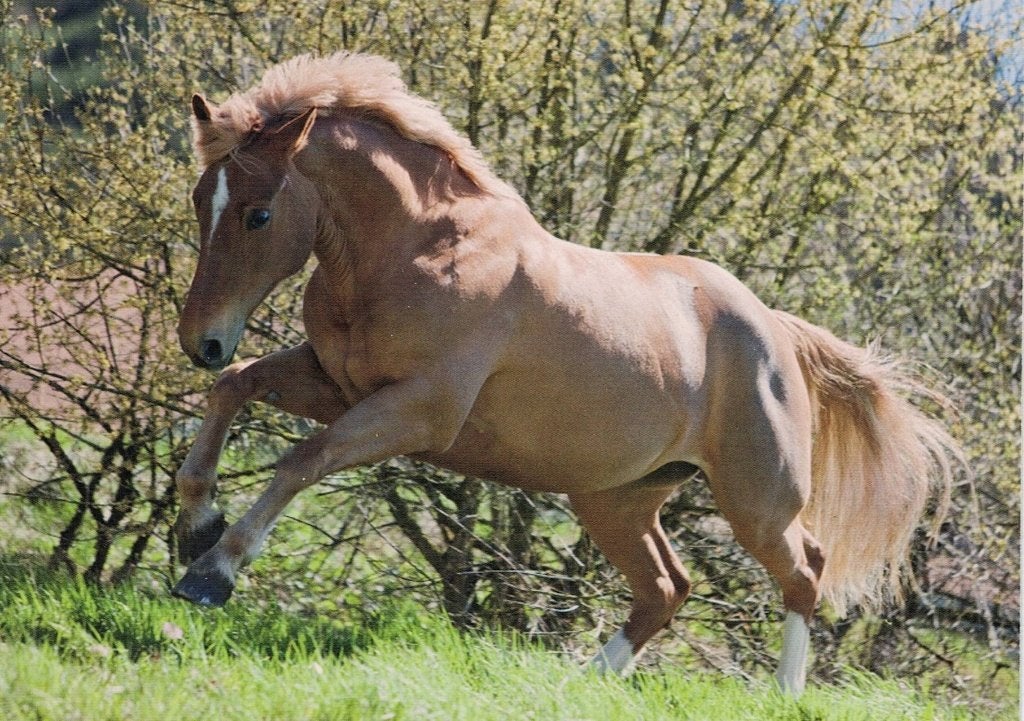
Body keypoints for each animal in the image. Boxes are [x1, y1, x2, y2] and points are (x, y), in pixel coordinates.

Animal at [171, 52, 960, 695]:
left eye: (258, 214)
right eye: (201, 199)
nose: (200, 341)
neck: (416, 250)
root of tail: (775, 329)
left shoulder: (418, 410)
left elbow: (302, 459)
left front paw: (213, 570)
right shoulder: (336, 384)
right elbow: (236, 386)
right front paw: (196, 525)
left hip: (755, 499)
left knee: (804, 570)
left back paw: (784, 693)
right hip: (615, 498)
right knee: (667, 587)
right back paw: (587, 681)